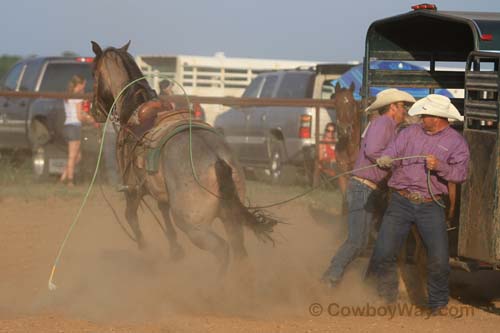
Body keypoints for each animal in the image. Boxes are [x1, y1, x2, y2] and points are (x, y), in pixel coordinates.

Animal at [90, 40, 278, 274]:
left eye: (93, 73)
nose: (93, 110)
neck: (134, 111)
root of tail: (217, 160)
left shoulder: (133, 188)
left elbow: (130, 217)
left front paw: (146, 249)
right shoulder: (159, 191)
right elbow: (163, 211)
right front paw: (175, 250)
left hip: (193, 225)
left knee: (222, 249)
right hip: (230, 218)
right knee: (238, 250)